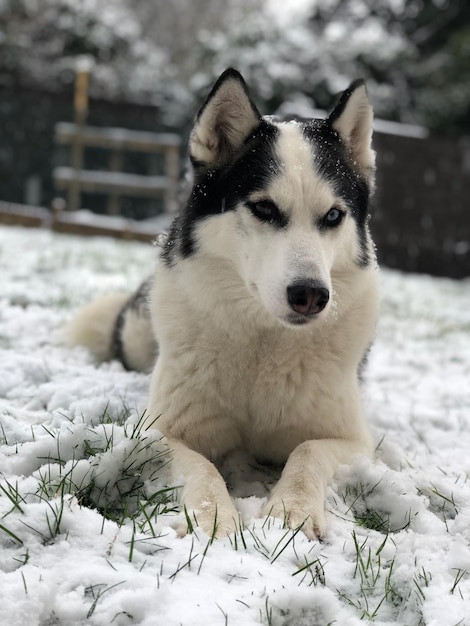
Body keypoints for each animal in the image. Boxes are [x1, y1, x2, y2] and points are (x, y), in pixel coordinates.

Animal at [69, 67, 378, 536]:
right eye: (264, 208)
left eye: (333, 216)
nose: (311, 296)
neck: (264, 343)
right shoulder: (161, 431)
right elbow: (201, 466)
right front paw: (211, 515)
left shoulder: (354, 441)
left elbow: (308, 450)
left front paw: (293, 509)